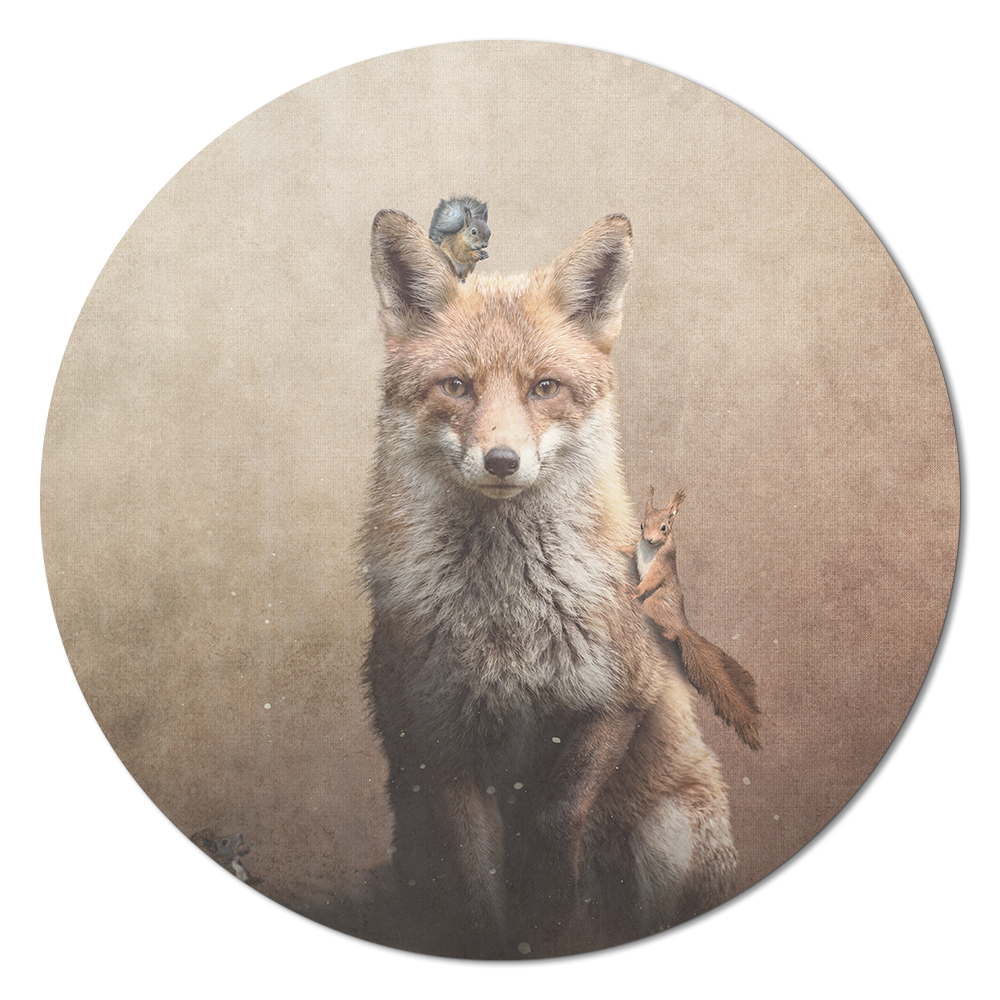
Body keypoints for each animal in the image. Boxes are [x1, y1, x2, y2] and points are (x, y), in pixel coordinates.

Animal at [360, 209, 737, 959]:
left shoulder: (615, 700)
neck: (507, 624)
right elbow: (476, 880)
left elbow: (552, 820)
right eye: (457, 386)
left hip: (668, 835)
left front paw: (553, 914)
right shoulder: (439, 736)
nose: (502, 460)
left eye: (544, 388)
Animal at [621, 488, 762, 749]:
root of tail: (683, 625)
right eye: (642, 525)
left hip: (655, 604)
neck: (650, 550)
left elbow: (650, 580)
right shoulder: (636, 548)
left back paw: (665, 630)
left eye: (665, 527)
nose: (649, 539)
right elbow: (629, 549)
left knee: (668, 628)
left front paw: (634, 591)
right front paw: (618, 549)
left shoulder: (662, 565)